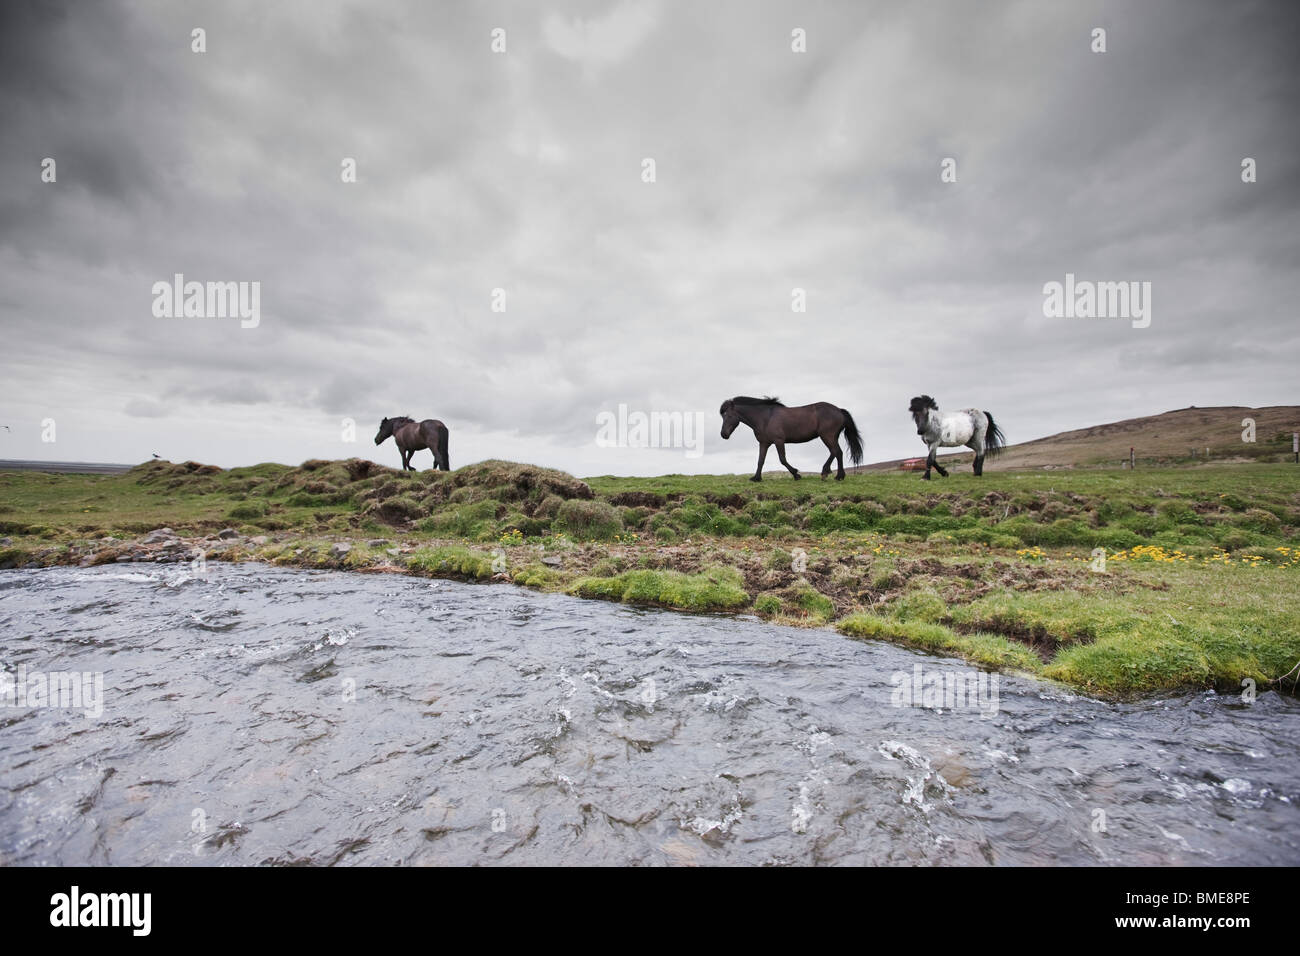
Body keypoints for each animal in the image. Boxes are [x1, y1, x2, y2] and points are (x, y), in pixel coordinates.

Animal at [722, 395, 863, 481]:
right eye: (723, 416)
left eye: (728, 416)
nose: (723, 434)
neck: (765, 417)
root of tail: (839, 410)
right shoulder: (764, 443)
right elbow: (760, 460)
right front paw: (756, 478)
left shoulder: (779, 441)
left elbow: (782, 459)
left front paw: (796, 474)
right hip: (831, 437)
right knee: (837, 452)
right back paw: (836, 475)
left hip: (827, 436)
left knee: (835, 451)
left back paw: (829, 473)